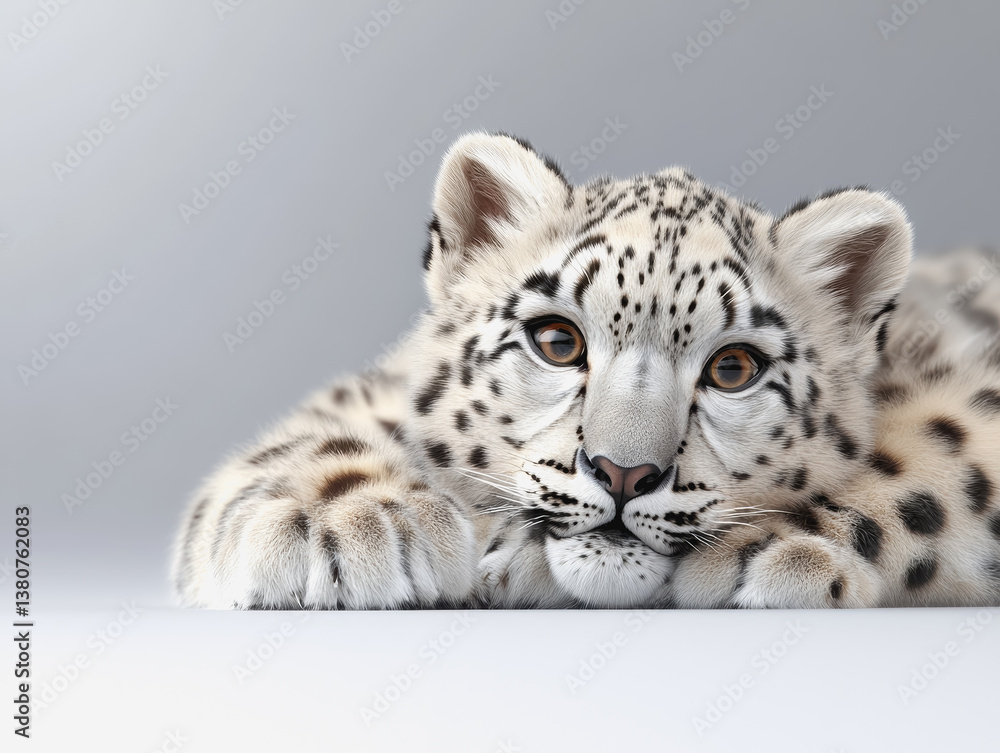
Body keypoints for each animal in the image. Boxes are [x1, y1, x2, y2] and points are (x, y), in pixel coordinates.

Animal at [171, 132, 1000, 610]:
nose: (624, 471)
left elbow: (922, 460)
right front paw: (336, 521)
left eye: (733, 367)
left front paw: (768, 549)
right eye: (558, 341)